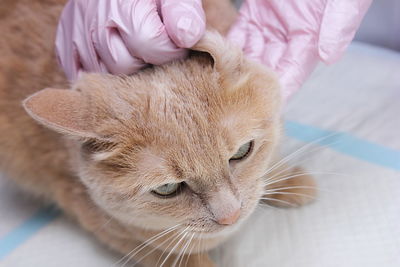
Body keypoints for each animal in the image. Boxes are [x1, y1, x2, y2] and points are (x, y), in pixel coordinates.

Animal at [0, 1, 316, 266]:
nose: (231, 216)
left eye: (241, 152)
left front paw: (287, 179)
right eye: (167, 188)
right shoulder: (103, 220)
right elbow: (177, 255)